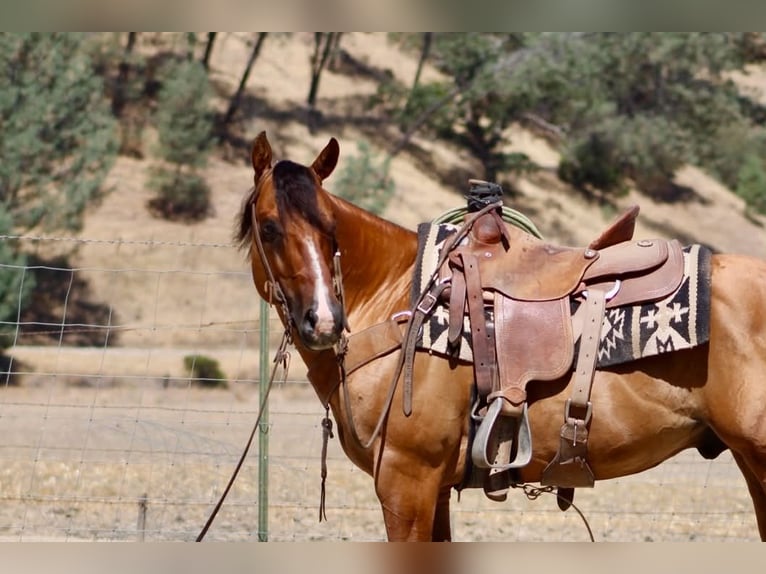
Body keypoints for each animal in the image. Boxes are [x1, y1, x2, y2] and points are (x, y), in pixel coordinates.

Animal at [236, 131, 766, 542]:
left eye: (330, 229)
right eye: (270, 228)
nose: (323, 320)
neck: (395, 297)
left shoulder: (406, 481)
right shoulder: (432, 489)